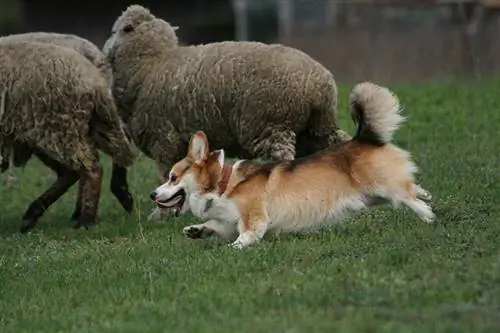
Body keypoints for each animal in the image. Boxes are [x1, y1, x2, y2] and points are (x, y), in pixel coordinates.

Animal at [0, 40, 135, 232]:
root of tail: (95, 80)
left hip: (59, 127)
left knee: (91, 169)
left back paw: (85, 221)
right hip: (54, 133)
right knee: (71, 172)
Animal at [102, 4, 352, 220]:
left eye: (118, 30)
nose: (104, 52)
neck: (149, 65)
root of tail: (319, 84)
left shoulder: (163, 139)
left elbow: (165, 175)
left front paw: (161, 213)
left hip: (271, 124)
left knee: (283, 159)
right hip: (315, 129)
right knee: (339, 143)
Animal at [148, 81, 434, 248]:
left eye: (172, 177)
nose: (152, 194)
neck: (221, 184)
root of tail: (364, 137)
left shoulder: (254, 218)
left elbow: (245, 235)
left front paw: (234, 248)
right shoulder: (228, 221)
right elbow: (215, 226)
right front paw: (197, 230)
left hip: (384, 187)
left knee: (407, 196)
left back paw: (427, 215)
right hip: (374, 195)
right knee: (413, 188)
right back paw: (427, 196)